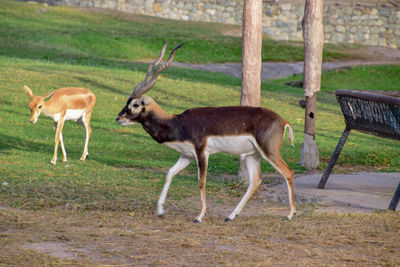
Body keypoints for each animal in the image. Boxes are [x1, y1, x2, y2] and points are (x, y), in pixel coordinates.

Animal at [114, 43, 296, 223]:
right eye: (127, 101)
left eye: (136, 104)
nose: (118, 118)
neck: (177, 123)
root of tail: (283, 121)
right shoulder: (186, 156)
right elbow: (169, 174)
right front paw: (160, 210)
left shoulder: (201, 153)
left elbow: (201, 182)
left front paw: (199, 216)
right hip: (252, 154)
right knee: (255, 181)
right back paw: (231, 216)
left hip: (269, 152)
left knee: (288, 172)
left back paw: (289, 214)